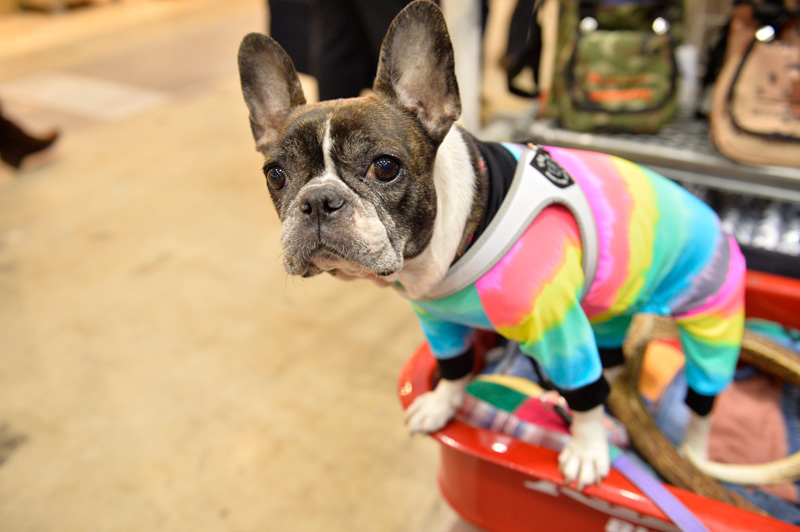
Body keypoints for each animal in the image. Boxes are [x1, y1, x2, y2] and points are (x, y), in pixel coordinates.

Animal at [237, 0, 745, 490]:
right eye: (276, 175)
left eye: (385, 167)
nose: (319, 201)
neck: (457, 235)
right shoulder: (440, 324)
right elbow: (456, 367)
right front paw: (441, 405)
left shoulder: (561, 330)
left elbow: (584, 394)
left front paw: (587, 450)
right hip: (608, 310)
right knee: (612, 357)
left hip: (712, 320)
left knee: (702, 399)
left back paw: (694, 455)